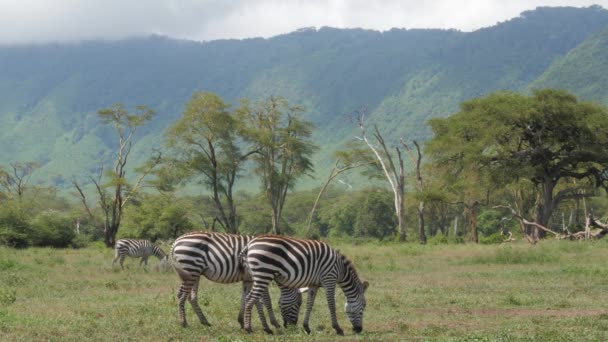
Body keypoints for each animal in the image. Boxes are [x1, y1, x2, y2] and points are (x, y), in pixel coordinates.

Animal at [169, 231, 302, 332]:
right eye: (298, 304)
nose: (293, 326)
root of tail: (177, 240)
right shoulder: (261, 276)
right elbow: (266, 301)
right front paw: (273, 323)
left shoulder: (248, 279)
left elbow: (245, 298)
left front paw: (242, 322)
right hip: (191, 270)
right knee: (182, 295)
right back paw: (184, 323)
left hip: (194, 273)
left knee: (190, 297)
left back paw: (204, 321)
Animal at [240, 234, 368, 336]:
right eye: (364, 306)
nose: (359, 330)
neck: (341, 269)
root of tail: (249, 245)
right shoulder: (329, 279)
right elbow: (331, 305)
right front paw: (338, 328)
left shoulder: (313, 285)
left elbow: (310, 305)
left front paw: (306, 327)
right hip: (263, 273)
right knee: (250, 298)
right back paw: (248, 328)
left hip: (256, 276)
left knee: (252, 298)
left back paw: (259, 327)